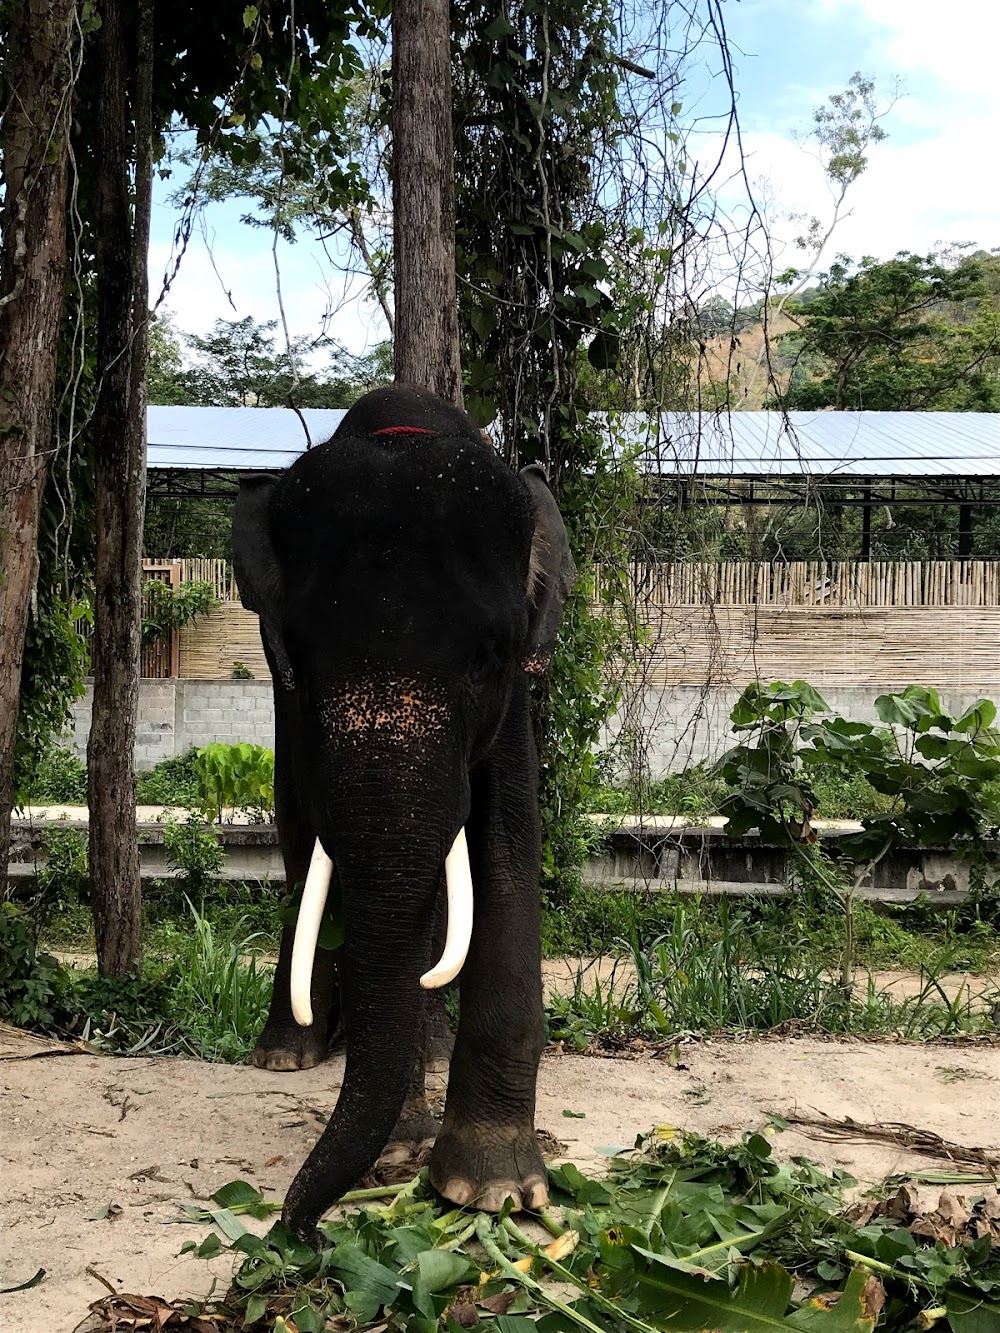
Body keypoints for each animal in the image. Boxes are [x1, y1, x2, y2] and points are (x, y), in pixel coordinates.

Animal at [232, 383, 576, 1237]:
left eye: (489, 656)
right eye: (304, 663)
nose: (294, 1227)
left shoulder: (514, 692)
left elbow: (507, 843)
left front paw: (494, 1190)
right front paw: (406, 1149)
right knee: (299, 839)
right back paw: (288, 1052)